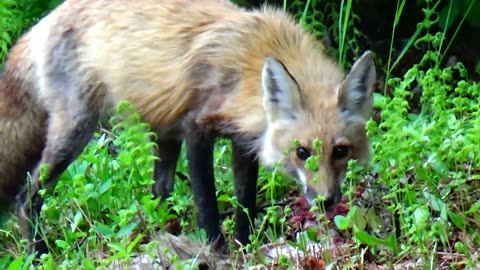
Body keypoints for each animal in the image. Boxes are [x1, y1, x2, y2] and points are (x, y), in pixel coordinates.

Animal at [0, 0, 376, 255]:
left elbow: (245, 202)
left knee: (157, 195)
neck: (253, 59)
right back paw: (39, 254)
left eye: (340, 151)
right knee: (25, 198)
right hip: (75, 132)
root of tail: (43, 21)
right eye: (301, 152)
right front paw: (218, 251)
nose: (327, 202)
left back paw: (161, 238)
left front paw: (243, 247)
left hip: (163, 139)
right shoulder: (196, 127)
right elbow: (206, 201)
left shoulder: (243, 140)